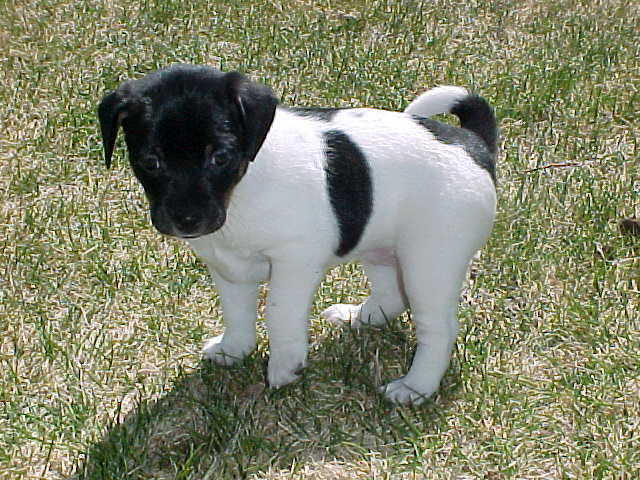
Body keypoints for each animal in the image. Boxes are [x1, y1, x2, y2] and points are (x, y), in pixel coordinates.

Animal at [97, 64, 498, 404]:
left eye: (220, 158)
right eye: (150, 162)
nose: (187, 220)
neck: (244, 188)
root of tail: (474, 143)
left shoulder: (294, 262)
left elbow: (278, 312)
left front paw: (285, 364)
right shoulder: (228, 268)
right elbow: (236, 312)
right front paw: (235, 349)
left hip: (430, 263)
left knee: (438, 328)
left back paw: (415, 387)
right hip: (381, 245)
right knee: (391, 293)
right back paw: (359, 317)